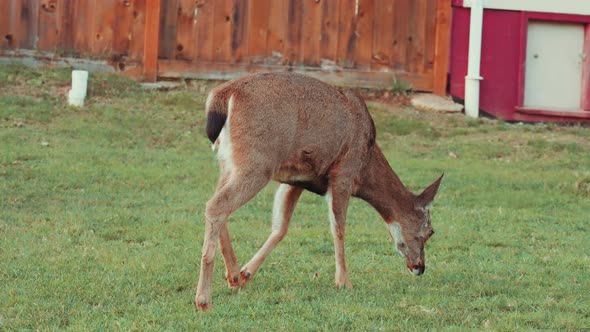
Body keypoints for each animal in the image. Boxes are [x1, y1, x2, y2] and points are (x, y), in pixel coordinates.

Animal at [195, 71, 444, 310]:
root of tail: (223, 95)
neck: (366, 165)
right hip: (257, 163)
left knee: (215, 203)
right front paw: (343, 282)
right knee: (216, 205)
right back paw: (203, 299)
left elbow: (280, 227)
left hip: (228, 162)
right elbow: (338, 227)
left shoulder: (296, 179)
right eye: (430, 231)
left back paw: (233, 276)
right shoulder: (343, 173)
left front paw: (246, 273)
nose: (420, 267)